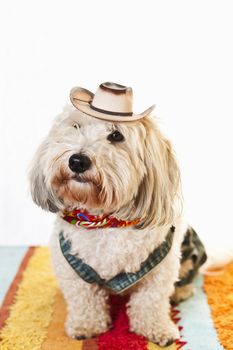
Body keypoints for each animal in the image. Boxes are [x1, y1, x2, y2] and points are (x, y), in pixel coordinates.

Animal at [29, 82, 208, 348]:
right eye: (76, 126)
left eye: (116, 136)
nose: (77, 160)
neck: (106, 221)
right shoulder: (71, 266)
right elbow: (84, 299)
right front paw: (86, 326)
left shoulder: (160, 268)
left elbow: (151, 302)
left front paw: (157, 329)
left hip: (190, 253)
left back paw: (181, 292)